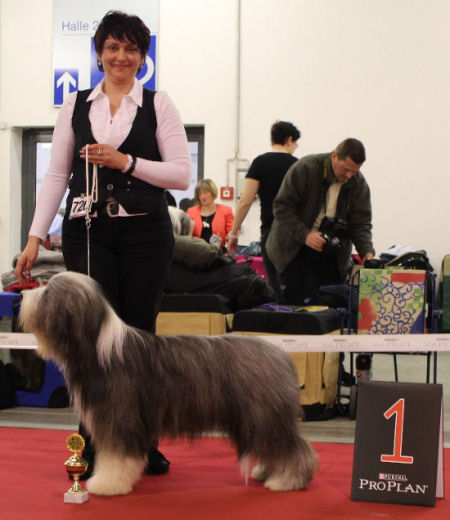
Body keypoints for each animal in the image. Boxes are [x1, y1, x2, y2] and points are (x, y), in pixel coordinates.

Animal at [19, 271, 317, 496]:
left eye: (48, 293)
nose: (23, 296)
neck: (96, 346)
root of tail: (281, 354)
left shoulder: (119, 417)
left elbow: (116, 457)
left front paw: (106, 484)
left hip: (263, 414)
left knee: (292, 449)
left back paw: (286, 481)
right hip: (256, 417)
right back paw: (266, 472)